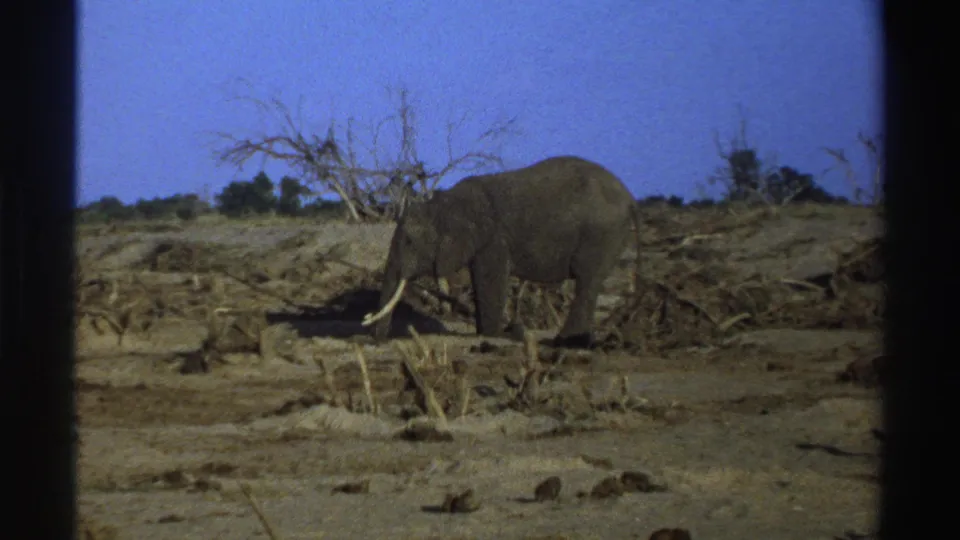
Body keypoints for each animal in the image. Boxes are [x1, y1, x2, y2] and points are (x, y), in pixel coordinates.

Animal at [361, 155, 641, 349]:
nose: (377, 341)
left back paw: (565, 342)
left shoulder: (494, 239)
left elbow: (490, 279)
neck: (443, 204)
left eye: (409, 242)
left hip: (600, 234)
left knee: (587, 281)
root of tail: (630, 199)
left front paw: (491, 335)